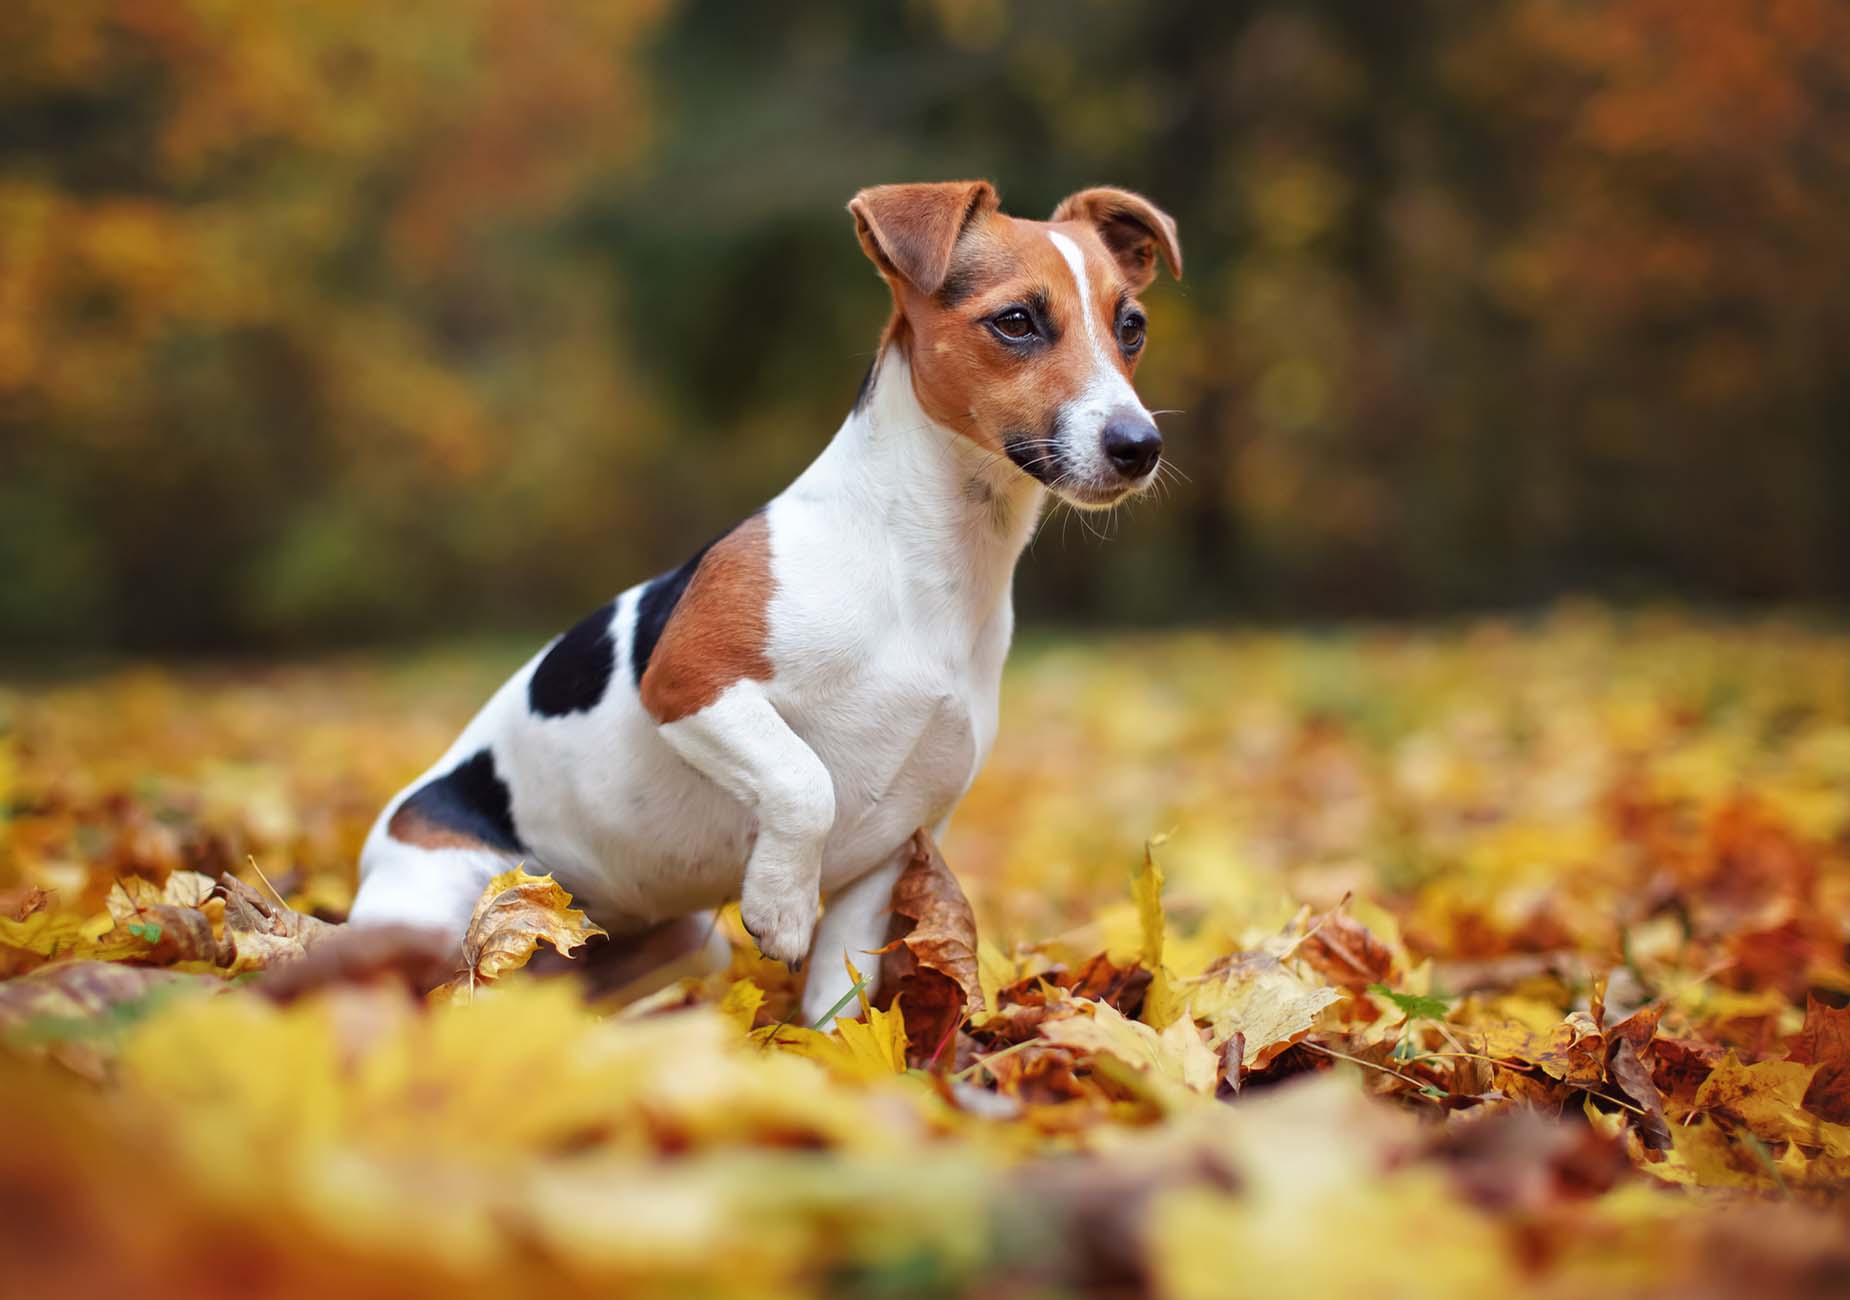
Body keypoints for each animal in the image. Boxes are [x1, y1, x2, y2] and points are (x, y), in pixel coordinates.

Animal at [347, 180, 1184, 1028]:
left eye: (1132, 327)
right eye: (1015, 321)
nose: (1139, 446)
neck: (921, 561)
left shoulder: (892, 849)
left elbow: (838, 1000)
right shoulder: (689, 684)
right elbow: (803, 780)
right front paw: (780, 903)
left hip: (678, 946)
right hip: (436, 918)